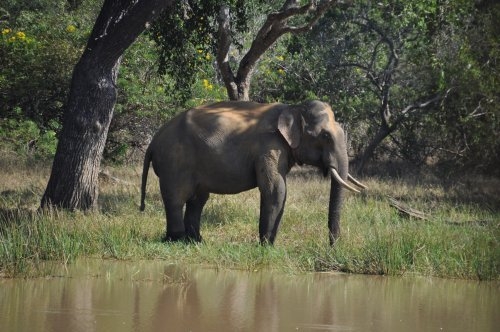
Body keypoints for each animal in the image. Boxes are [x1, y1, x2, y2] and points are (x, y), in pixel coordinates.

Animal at [139, 100, 366, 245]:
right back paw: (175, 240)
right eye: (325, 136)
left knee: (198, 199)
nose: (333, 247)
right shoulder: (269, 145)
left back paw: (195, 241)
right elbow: (275, 189)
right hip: (174, 161)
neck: (292, 107)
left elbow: (279, 192)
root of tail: (154, 141)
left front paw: (270, 244)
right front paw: (266, 246)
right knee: (177, 197)